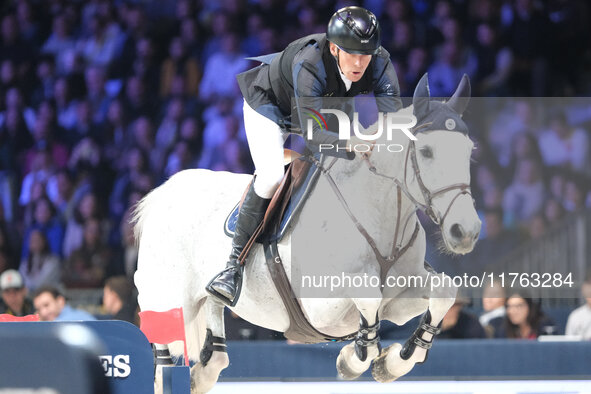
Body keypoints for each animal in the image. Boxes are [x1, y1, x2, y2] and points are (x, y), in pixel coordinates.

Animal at [133, 72, 480, 392]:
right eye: (427, 152)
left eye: (470, 151)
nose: (466, 231)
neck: (381, 216)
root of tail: (162, 192)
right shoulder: (321, 308)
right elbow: (368, 296)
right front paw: (353, 360)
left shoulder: (401, 296)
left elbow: (443, 292)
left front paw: (392, 363)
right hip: (168, 296)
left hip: (206, 296)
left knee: (214, 347)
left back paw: (202, 370)